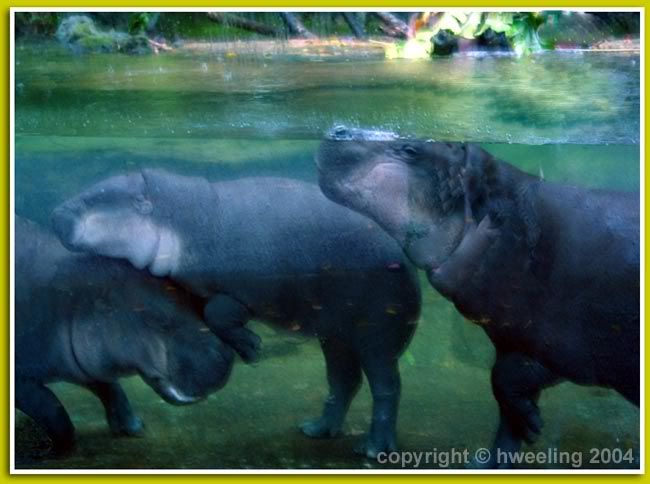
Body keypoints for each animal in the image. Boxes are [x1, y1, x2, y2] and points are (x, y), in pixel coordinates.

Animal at [15, 217, 234, 456]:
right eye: (157, 320)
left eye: (193, 300)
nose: (223, 354)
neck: (72, 301)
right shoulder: (22, 380)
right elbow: (53, 412)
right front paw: (49, 452)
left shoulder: (84, 365)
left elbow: (112, 390)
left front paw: (135, 428)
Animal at [53, 174, 422, 458]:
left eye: (94, 197)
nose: (54, 210)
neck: (179, 217)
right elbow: (209, 314)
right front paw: (248, 347)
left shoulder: (250, 290)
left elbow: (218, 312)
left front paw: (253, 349)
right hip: (336, 337)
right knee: (343, 380)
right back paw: (316, 430)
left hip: (376, 337)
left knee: (387, 386)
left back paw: (373, 450)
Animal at [316, 126, 636, 466]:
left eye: (410, 150)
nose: (337, 129)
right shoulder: (517, 341)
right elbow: (504, 395)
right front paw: (503, 449)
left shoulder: (571, 351)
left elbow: (504, 380)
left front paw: (532, 427)